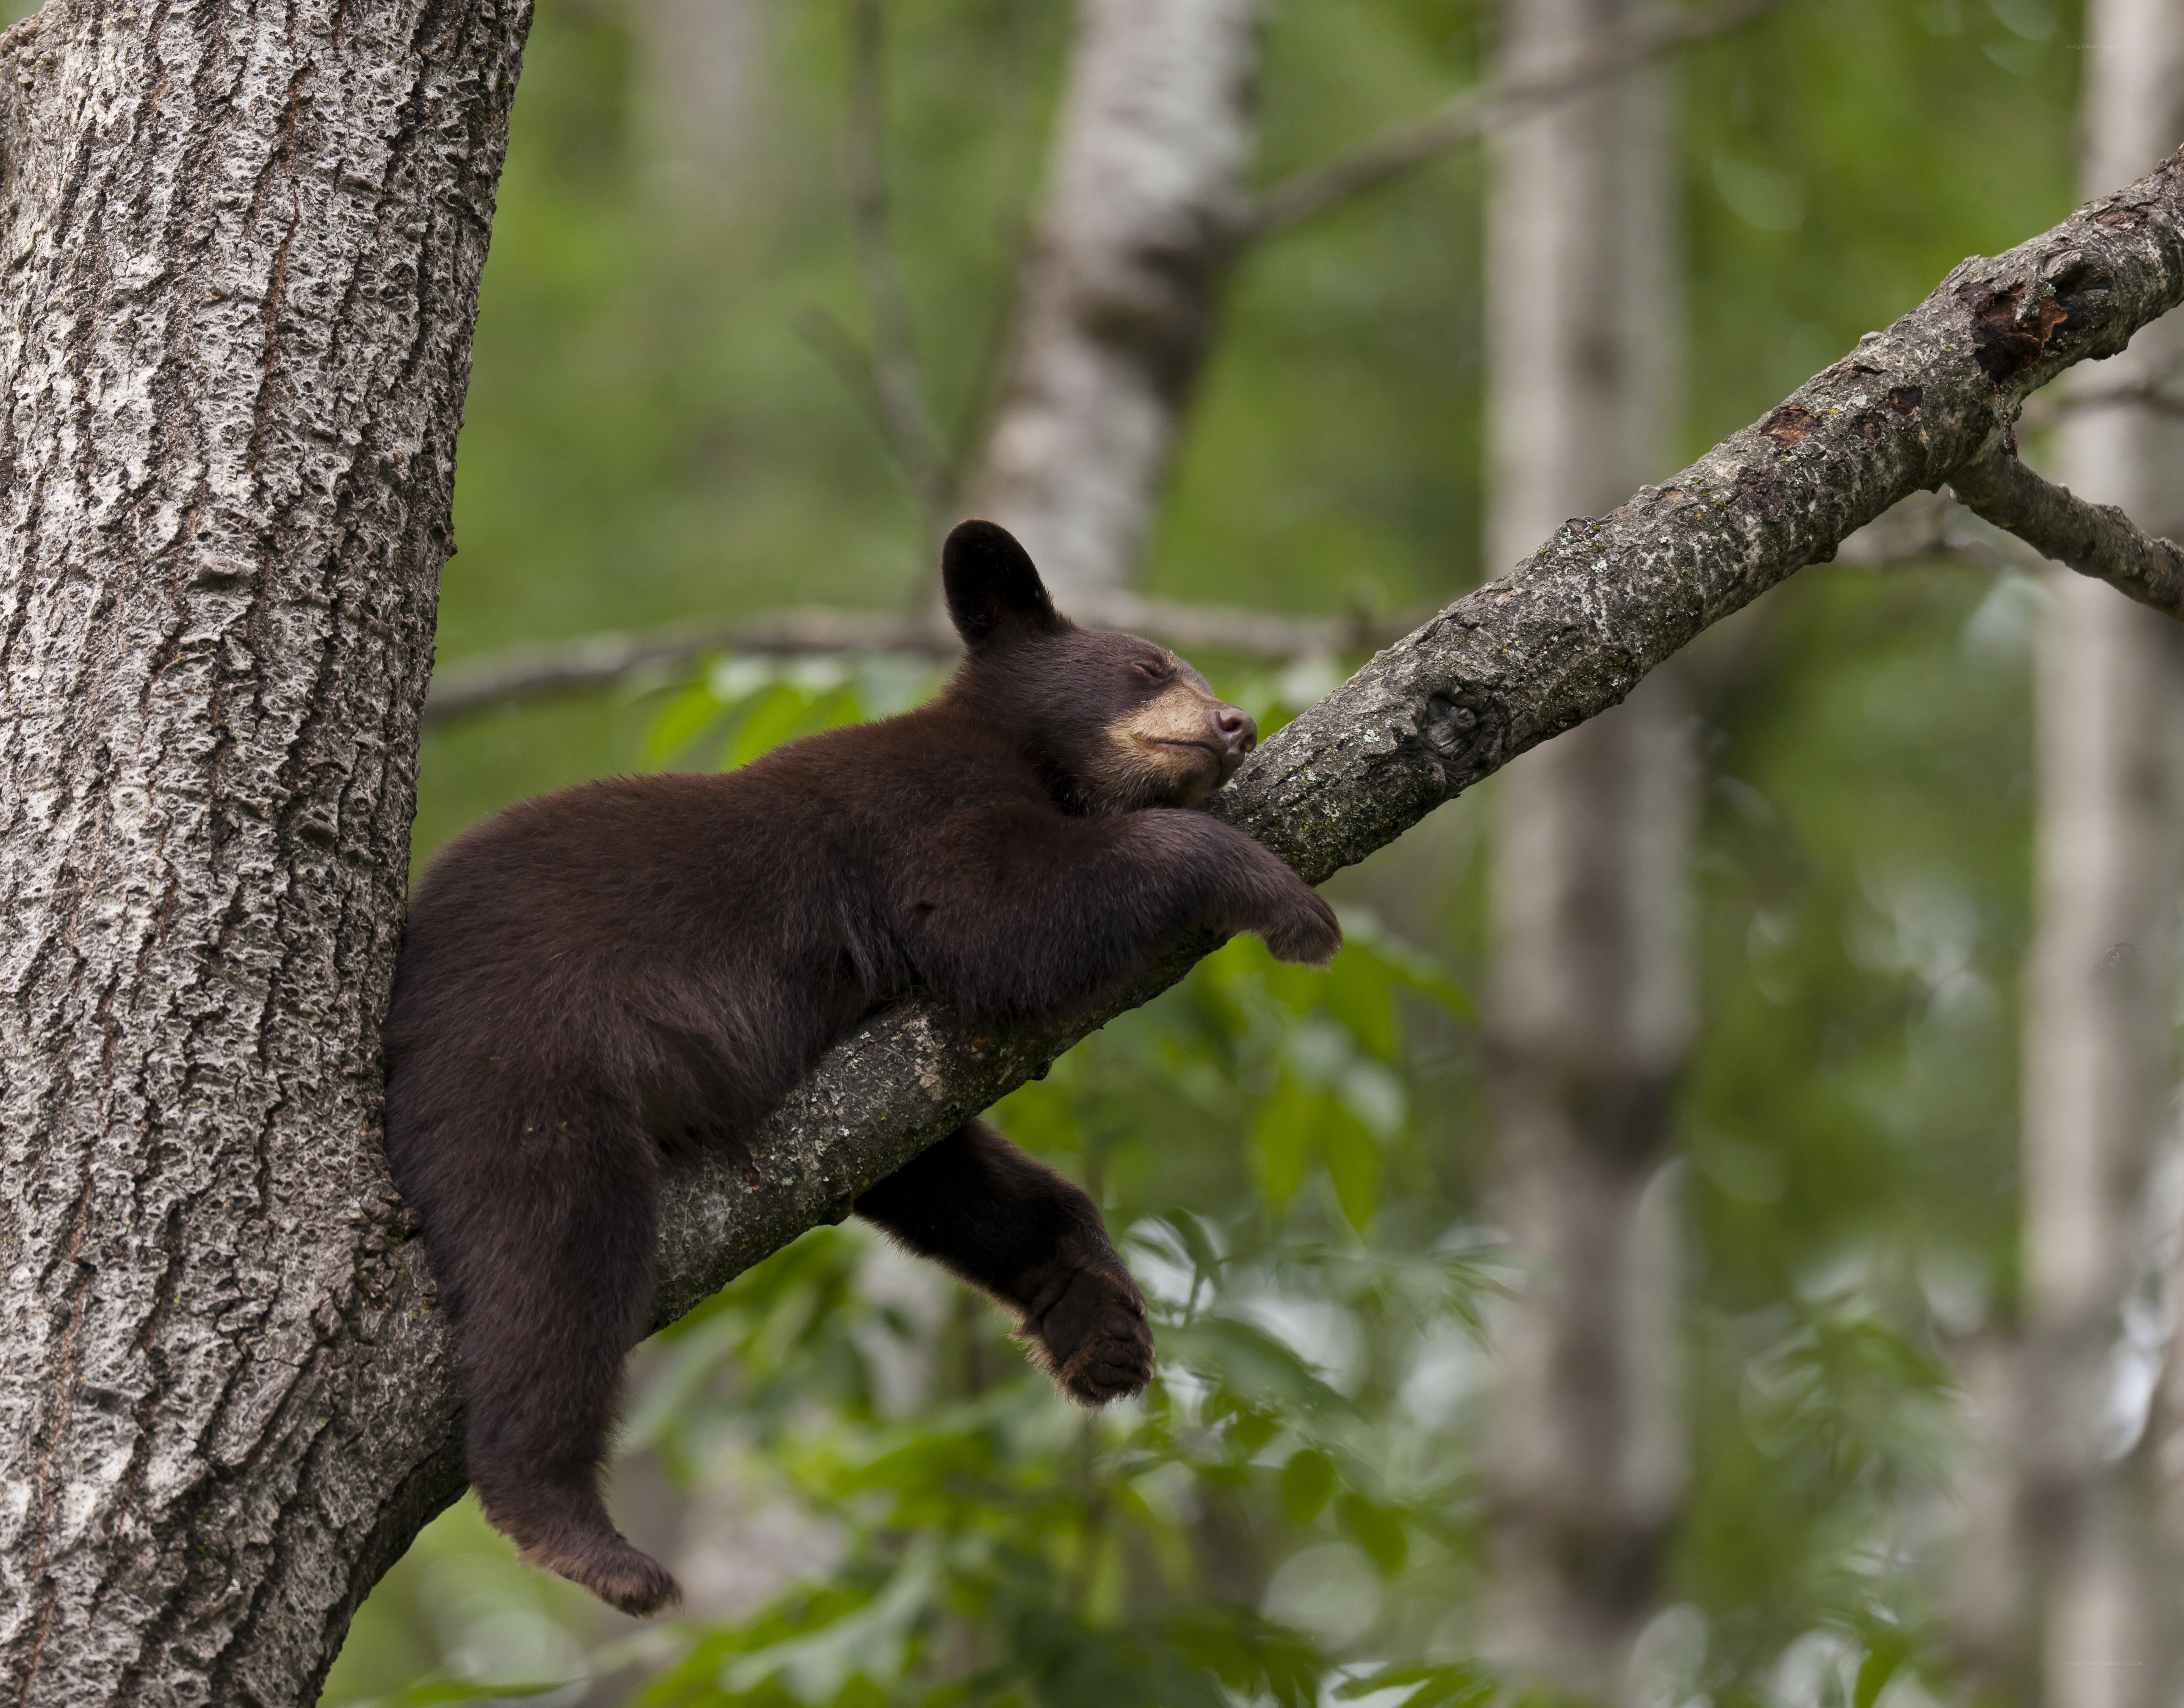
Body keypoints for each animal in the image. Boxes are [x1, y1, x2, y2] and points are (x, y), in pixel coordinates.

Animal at [380, 519, 1342, 1616]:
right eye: (1147, 668)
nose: (1236, 723)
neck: (1028, 759)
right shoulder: (914, 811)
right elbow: (995, 912)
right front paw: (1279, 896)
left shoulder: (874, 1069)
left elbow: (932, 1162)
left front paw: (1095, 1320)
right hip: (520, 1060)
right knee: (554, 1256)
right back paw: (578, 1531)